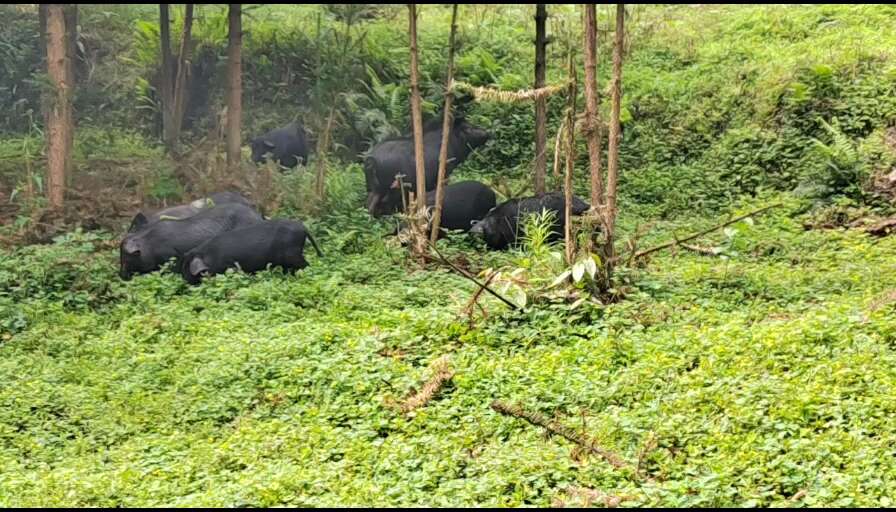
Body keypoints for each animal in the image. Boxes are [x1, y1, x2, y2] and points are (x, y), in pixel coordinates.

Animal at [180, 219, 324, 286]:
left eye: (187, 268)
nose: (186, 282)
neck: (209, 257)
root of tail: (303, 228)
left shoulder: (229, 267)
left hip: (293, 255)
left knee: (305, 265)